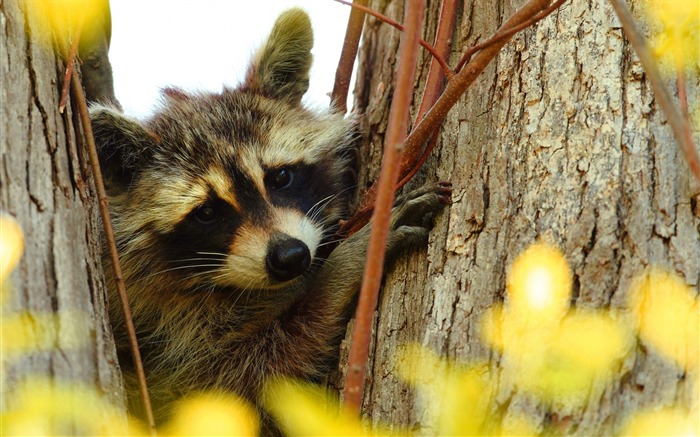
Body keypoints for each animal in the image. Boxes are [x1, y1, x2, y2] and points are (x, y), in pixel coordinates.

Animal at [90, 7, 452, 426]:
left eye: (280, 177)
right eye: (208, 212)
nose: (290, 257)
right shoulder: (159, 331)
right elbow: (246, 373)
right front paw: (347, 265)